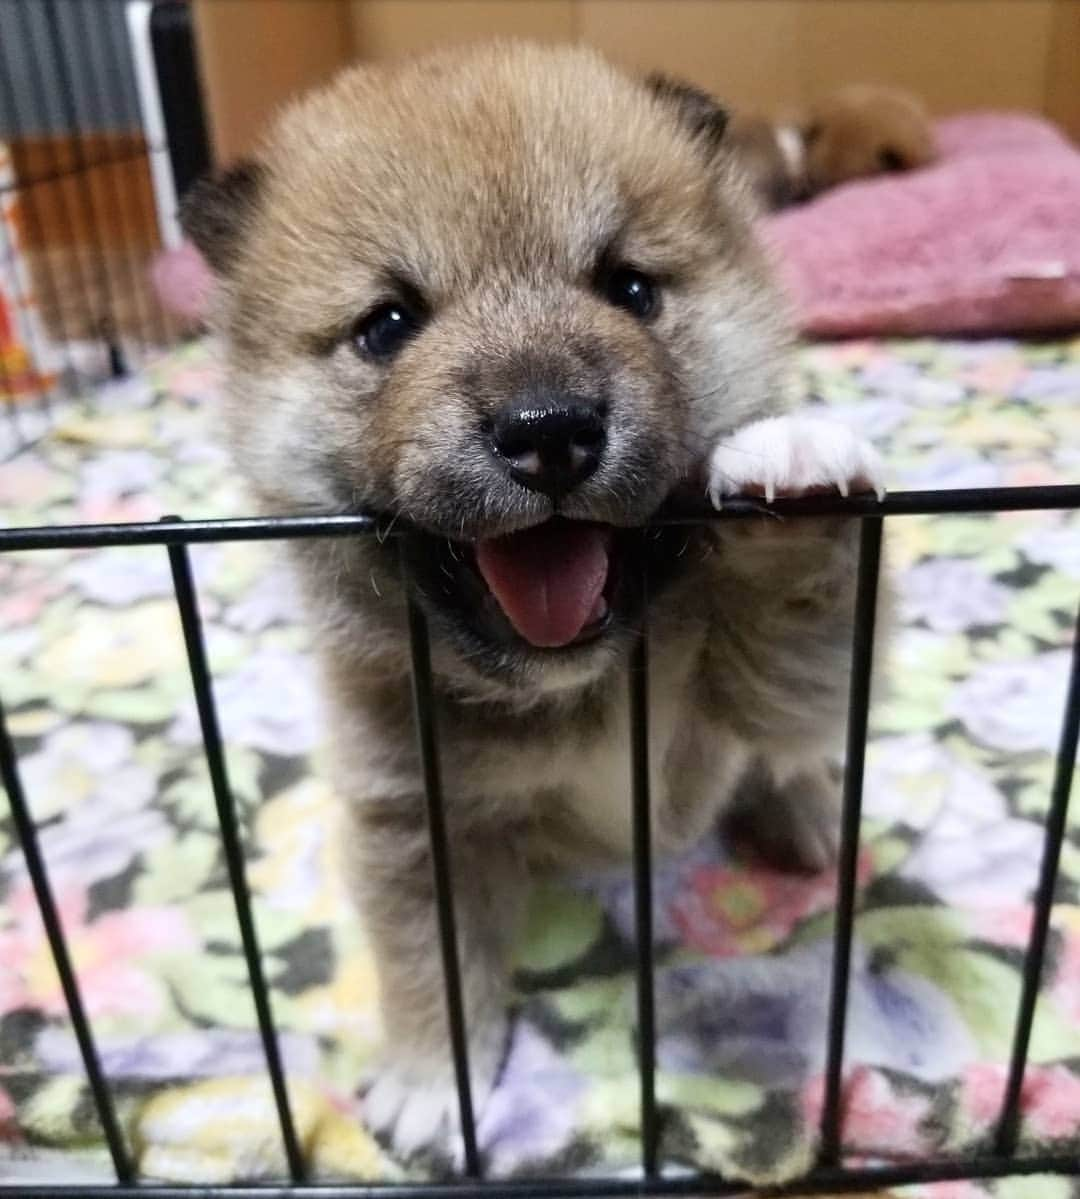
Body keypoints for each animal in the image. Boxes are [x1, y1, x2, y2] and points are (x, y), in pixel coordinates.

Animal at [178, 42, 887, 1165]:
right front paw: (436, 1082)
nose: (548, 428)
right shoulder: (412, 819)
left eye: (629, 288)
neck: (572, 690)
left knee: (794, 760)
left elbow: (798, 651)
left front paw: (793, 462)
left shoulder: (757, 695)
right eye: (387, 325)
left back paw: (811, 812)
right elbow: (432, 964)